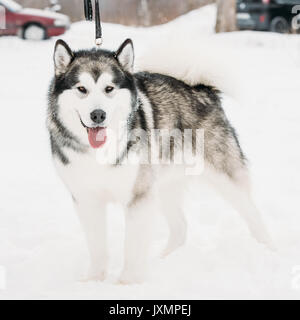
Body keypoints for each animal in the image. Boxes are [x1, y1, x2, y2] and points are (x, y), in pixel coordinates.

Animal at [47, 38, 274, 284]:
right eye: (82, 89)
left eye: (109, 89)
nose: (98, 115)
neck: (99, 153)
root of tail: (200, 88)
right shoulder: (86, 199)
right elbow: (97, 245)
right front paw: (94, 280)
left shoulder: (138, 196)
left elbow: (132, 245)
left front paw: (127, 281)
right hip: (163, 185)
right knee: (180, 228)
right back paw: (163, 260)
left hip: (223, 176)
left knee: (252, 213)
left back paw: (267, 249)